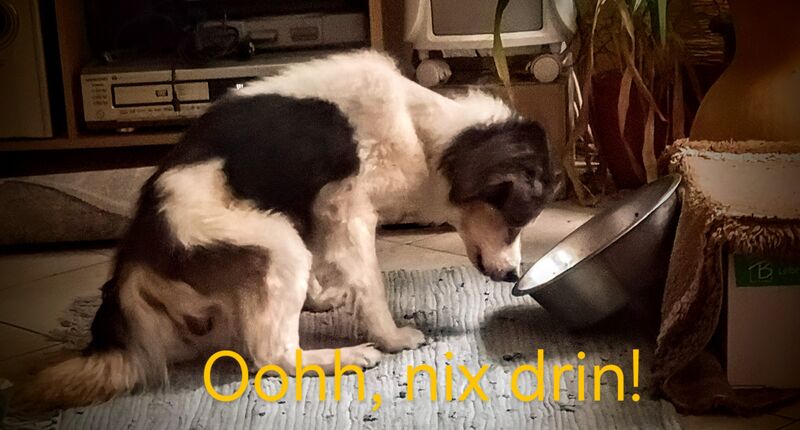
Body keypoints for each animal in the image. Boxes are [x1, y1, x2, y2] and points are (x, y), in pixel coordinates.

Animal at [20, 51, 555, 409]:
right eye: (516, 219)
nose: (513, 276)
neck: (420, 127)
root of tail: (137, 252)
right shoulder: (349, 212)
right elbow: (371, 287)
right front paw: (392, 337)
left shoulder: (316, 214)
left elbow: (328, 273)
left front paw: (320, 299)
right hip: (278, 244)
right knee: (272, 354)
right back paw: (346, 356)